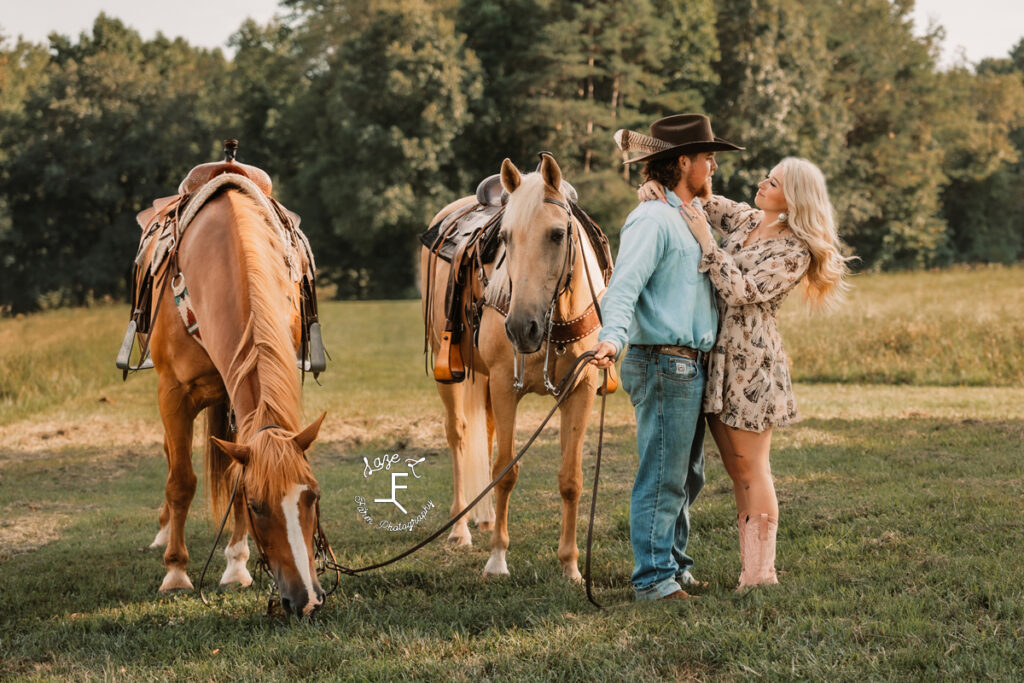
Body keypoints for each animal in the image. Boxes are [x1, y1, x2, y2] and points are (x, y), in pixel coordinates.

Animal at [142, 179, 325, 618]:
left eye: (312, 496)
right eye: (258, 505)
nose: (307, 600)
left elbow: (235, 472)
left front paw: (236, 566)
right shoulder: (173, 394)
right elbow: (181, 482)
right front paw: (176, 573)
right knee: (171, 458)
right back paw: (163, 533)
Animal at [421, 156, 606, 581]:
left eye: (557, 234)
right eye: (505, 237)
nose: (522, 327)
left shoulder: (581, 387)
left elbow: (570, 478)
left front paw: (570, 566)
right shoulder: (506, 384)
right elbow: (506, 469)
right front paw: (497, 559)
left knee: (485, 434)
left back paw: (485, 516)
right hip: (450, 373)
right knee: (459, 435)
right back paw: (460, 528)